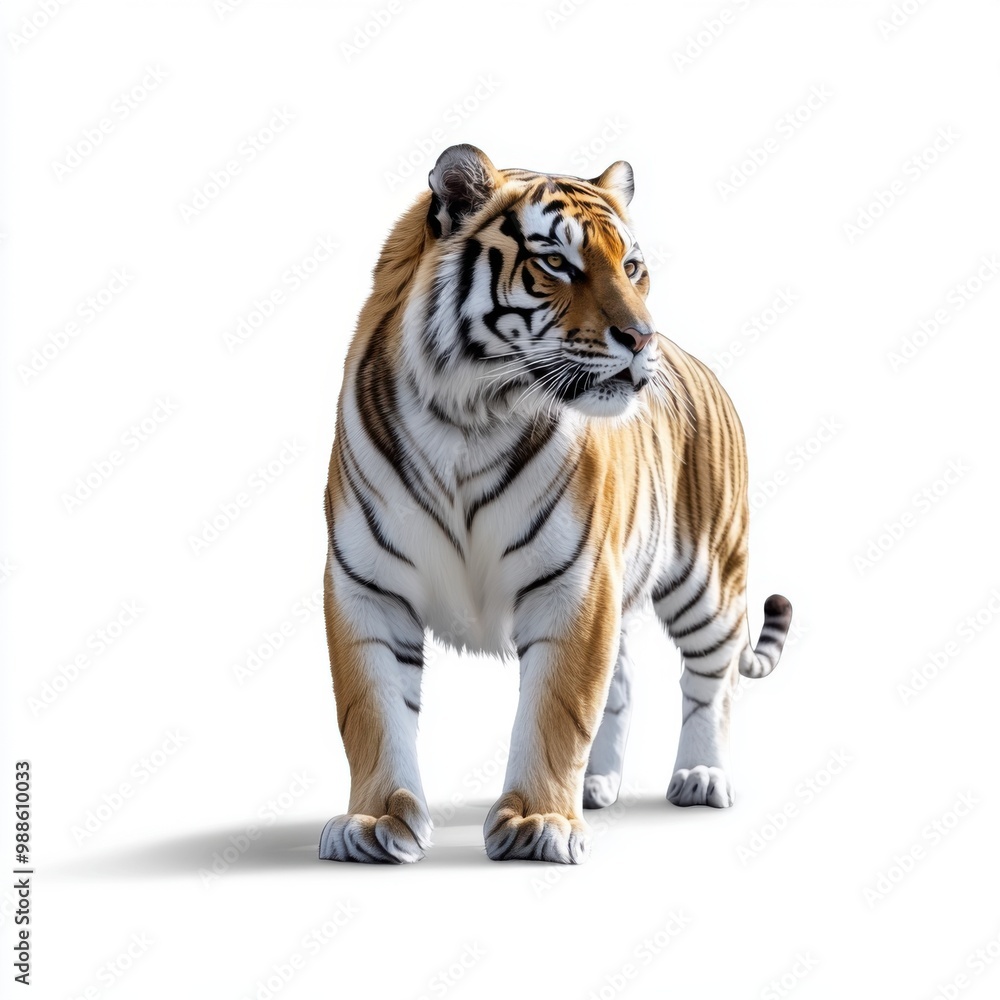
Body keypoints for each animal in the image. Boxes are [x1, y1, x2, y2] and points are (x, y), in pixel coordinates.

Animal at [319, 143, 792, 865]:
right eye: (557, 263)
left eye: (631, 266)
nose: (643, 338)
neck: (467, 418)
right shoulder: (365, 588)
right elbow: (370, 714)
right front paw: (374, 823)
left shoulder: (575, 586)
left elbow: (557, 712)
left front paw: (538, 822)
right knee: (621, 684)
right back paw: (596, 786)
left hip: (708, 575)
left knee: (712, 679)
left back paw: (701, 776)